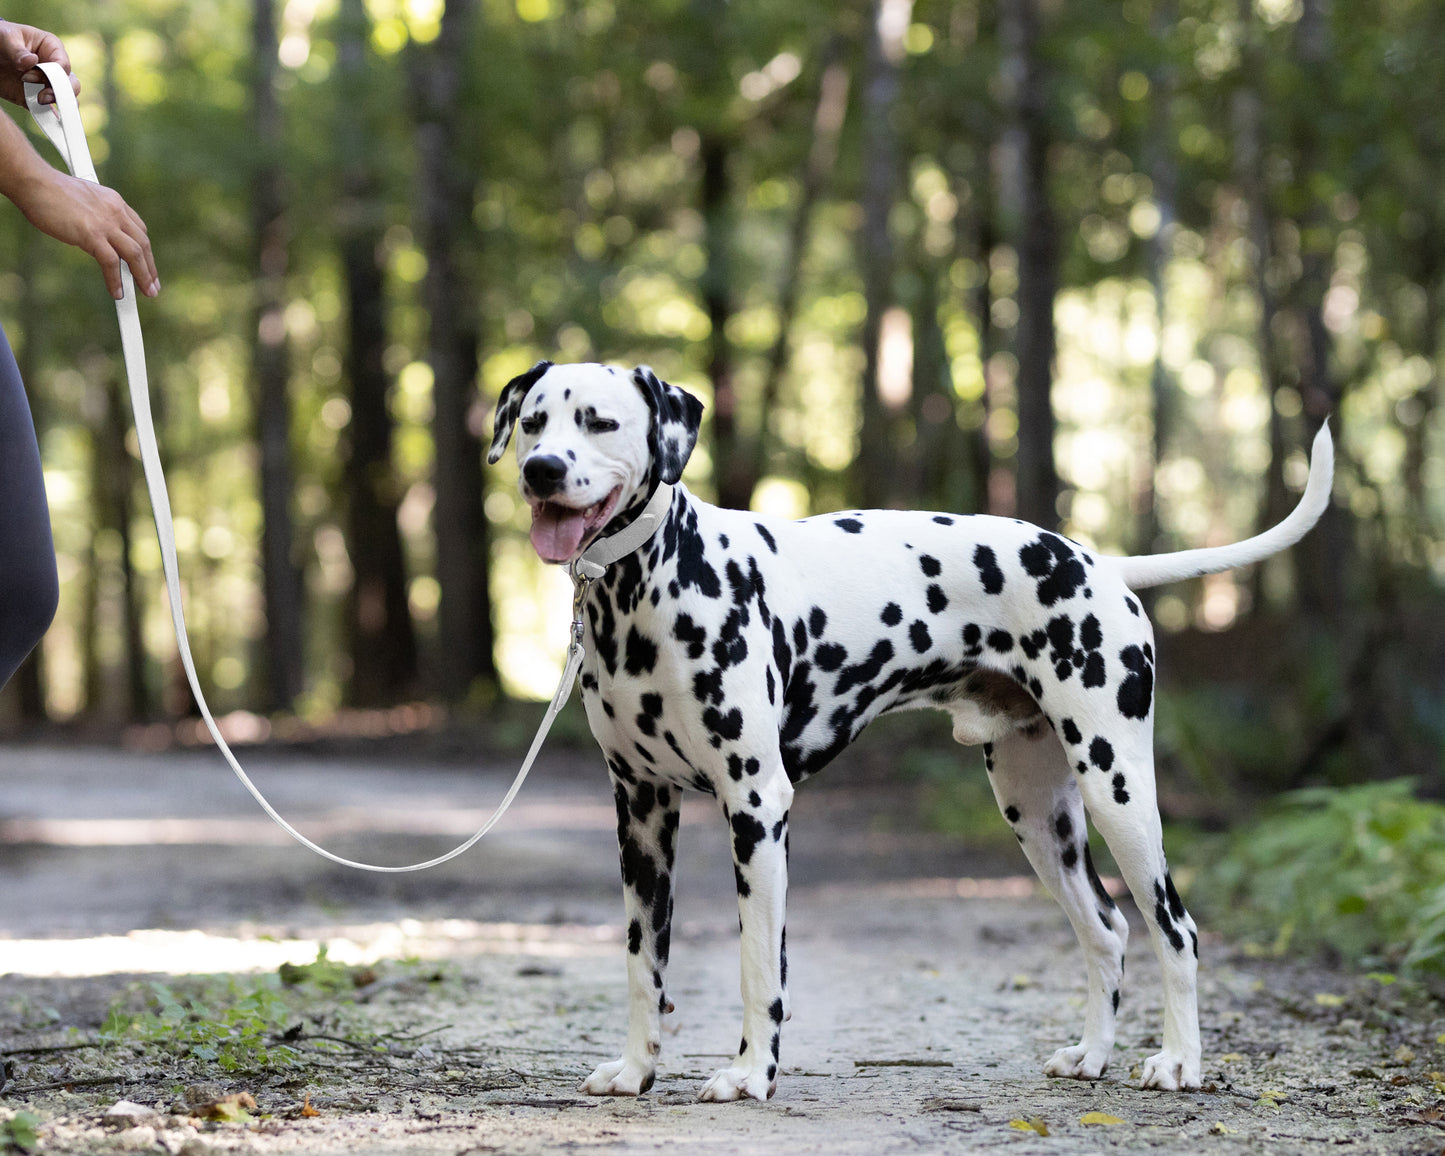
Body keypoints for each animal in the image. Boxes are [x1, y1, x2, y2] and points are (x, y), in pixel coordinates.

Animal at [488, 358, 1329, 1103]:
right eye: (533, 422)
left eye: (598, 422)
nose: (541, 470)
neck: (650, 589)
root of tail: (1099, 564)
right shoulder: (640, 814)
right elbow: (642, 963)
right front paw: (635, 1071)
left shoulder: (756, 807)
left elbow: (759, 964)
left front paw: (750, 1075)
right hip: (1038, 815)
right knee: (1107, 930)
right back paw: (1090, 1056)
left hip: (1116, 789)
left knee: (1174, 928)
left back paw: (1179, 1063)